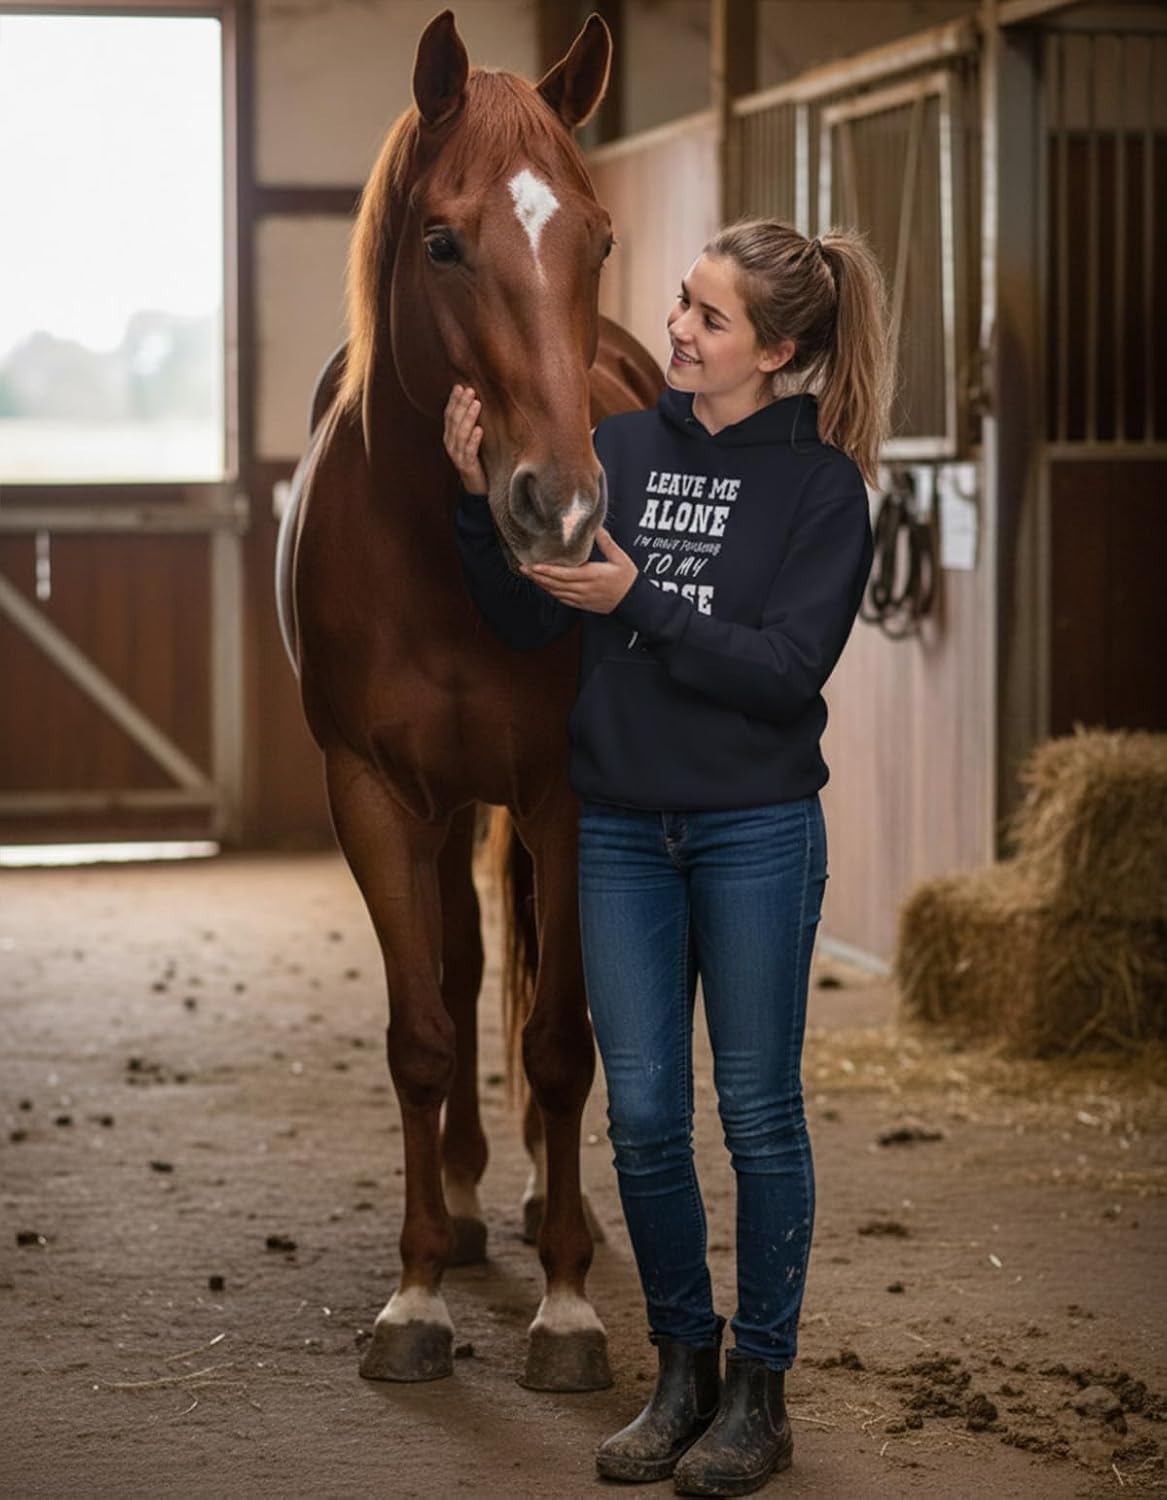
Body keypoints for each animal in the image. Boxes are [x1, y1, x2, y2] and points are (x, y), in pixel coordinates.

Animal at [278, 9, 663, 1392]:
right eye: (442, 240)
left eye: (598, 239)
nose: (562, 510)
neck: (444, 561)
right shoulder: (376, 796)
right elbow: (424, 1030)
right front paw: (417, 1294)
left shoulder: (563, 798)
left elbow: (560, 1042)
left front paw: (569, 1306)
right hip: (444, 819)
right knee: (460, 958)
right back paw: (460, 1197)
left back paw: (556, 1206)